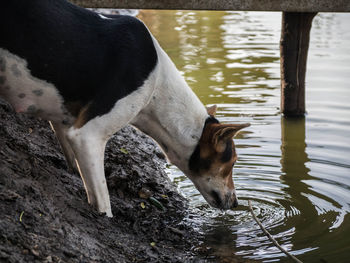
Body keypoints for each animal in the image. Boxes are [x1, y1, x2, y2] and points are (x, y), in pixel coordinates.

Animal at [1, 0, 250, 219]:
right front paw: (105, 220)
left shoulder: (65, 120)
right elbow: (102, 198)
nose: (236, 203)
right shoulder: (87, 136)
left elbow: (76, 167)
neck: (158, 88)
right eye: (231, 163)